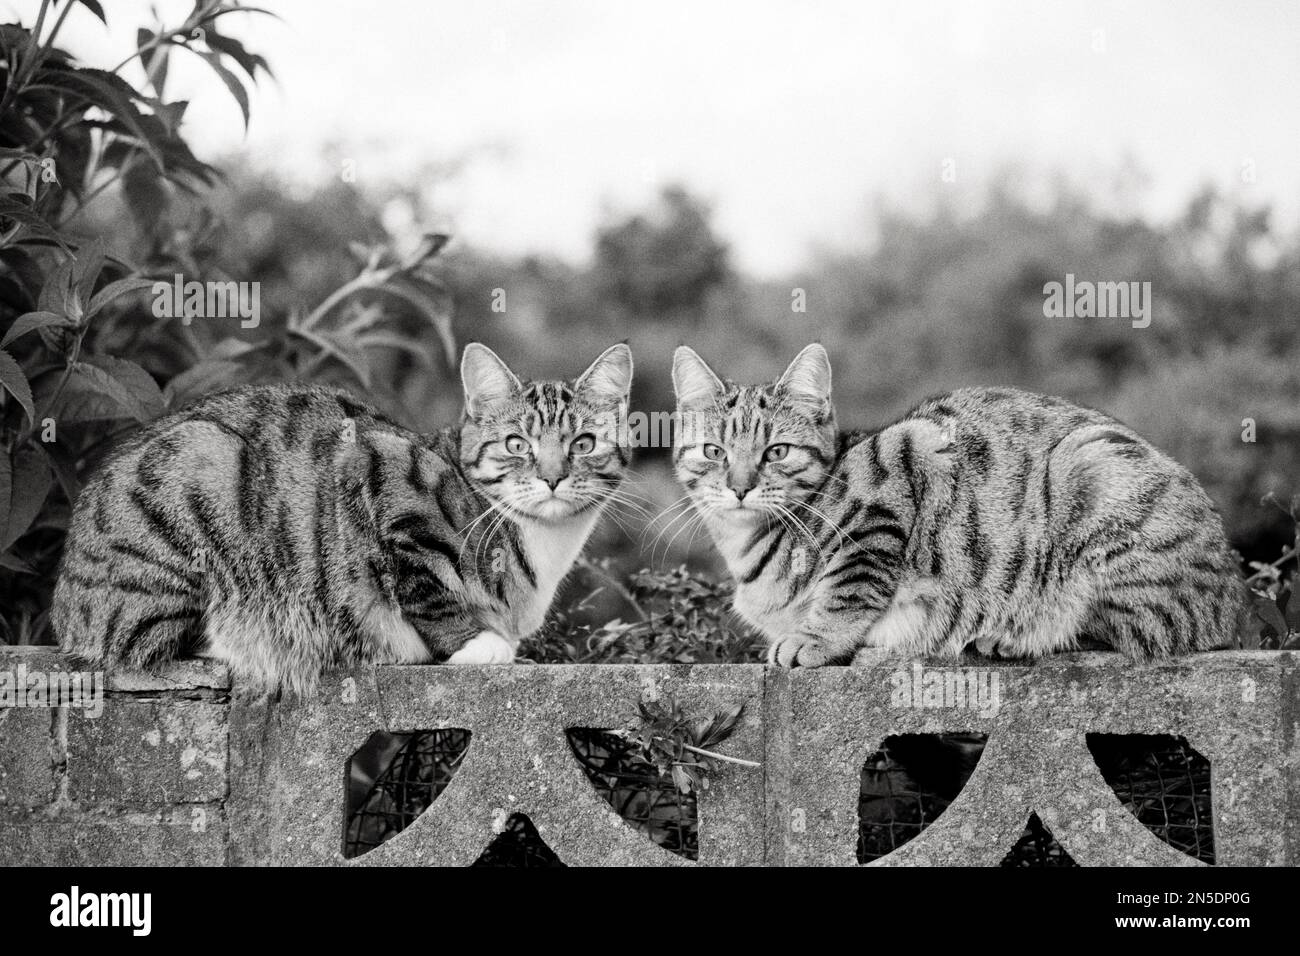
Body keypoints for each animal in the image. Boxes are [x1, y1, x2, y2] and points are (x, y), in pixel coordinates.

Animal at [55, 343, 634, 697]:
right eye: (517, 445)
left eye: (583, 443)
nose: (553, 477)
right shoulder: (381, 471)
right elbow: (424, 586)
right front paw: (480, 643)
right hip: (203, 467)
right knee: (152, 640)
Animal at [676, 348, 1242, 671]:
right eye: (714, 452)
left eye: (776, 452)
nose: (740, 487)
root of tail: (1233, 599)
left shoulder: (903, 465)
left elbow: (848, 589)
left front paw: (815, 639)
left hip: (1092, 473)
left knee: (1130, 627)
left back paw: (1010, 637)